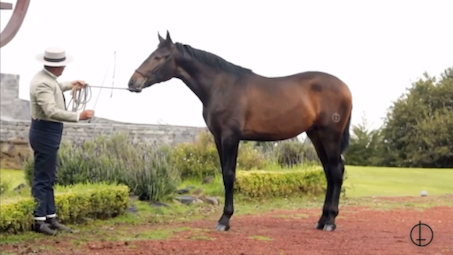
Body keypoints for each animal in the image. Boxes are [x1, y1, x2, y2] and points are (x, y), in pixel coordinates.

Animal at [127, 30, 354, 232]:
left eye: (159, 57)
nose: (132, 82)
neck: (222, 86)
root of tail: (345, 88)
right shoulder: (218, 137)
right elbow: (224, 173)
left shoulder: (230, 136)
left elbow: (229, 175)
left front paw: (224, 220)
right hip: (316, 135)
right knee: (329, 172)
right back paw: (322, 220)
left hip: (330, 135)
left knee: (336, 171)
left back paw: (330, 221)